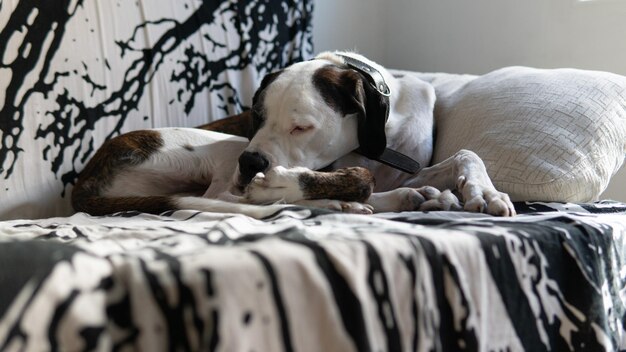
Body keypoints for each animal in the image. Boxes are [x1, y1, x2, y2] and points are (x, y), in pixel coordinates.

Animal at [73, 51, 516, 219]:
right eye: (256, 114)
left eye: (302, 126)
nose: (252, 163)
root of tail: (85, 180)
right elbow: (360, 178)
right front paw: (284, 185)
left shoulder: (409, 166)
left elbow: (466, 154)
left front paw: (485, 191)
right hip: (221, 149)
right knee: (224, 198)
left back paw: (419, 197)